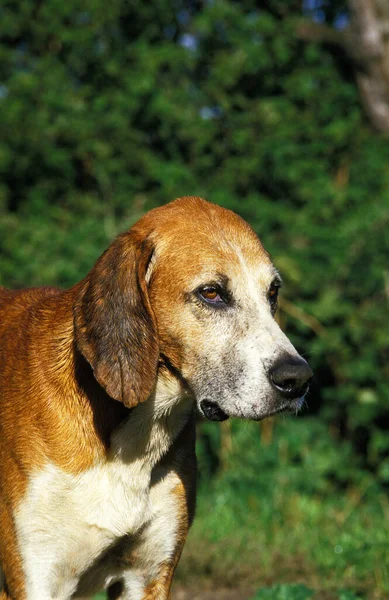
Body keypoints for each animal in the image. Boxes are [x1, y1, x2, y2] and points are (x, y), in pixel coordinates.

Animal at [0, 196, 310, 596]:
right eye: (211, 293)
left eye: (272, 293)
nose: (298, 378)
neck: (130, 440)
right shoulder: (34, 580)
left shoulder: (148, 577)